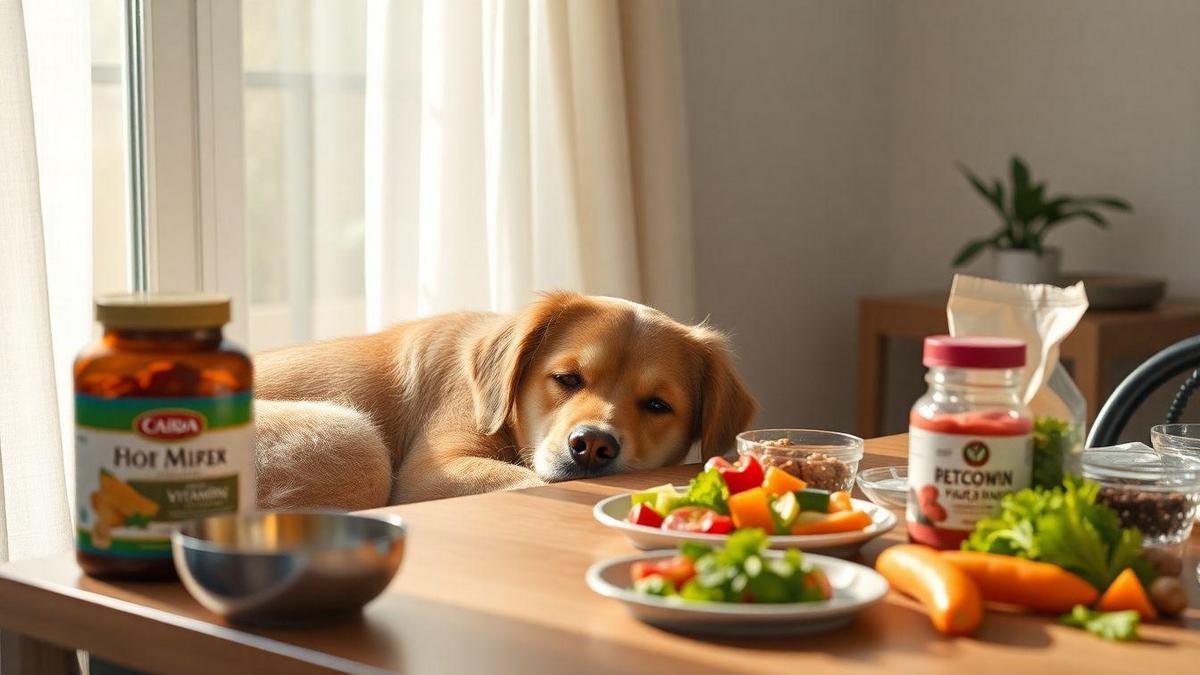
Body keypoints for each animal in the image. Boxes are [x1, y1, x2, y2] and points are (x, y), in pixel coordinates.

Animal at [255, 289, 758, 504]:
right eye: (567, 379)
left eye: (657, 405)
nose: (592, 445)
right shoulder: (433, 471)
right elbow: (529, 481)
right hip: (352, 438)